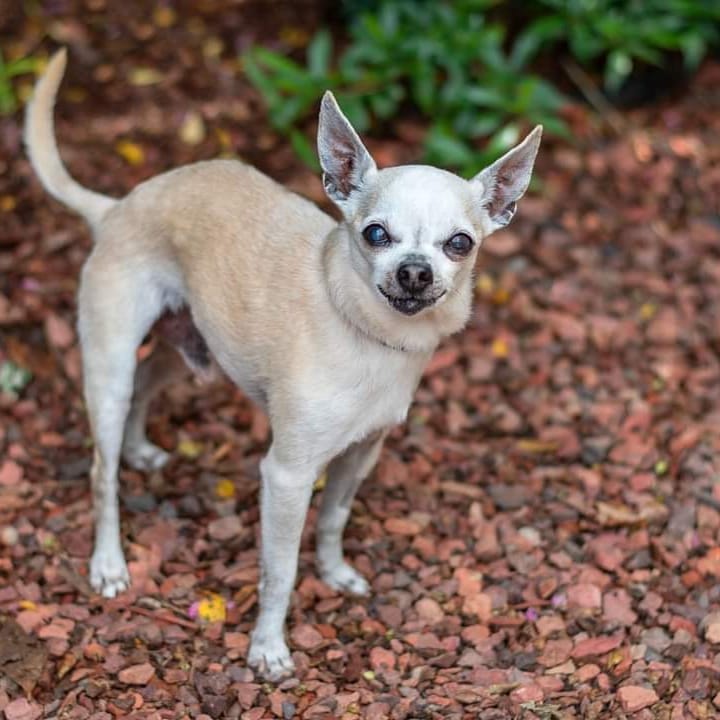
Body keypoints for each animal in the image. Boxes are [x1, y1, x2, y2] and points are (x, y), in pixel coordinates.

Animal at [26, 47, 540, 676]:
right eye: (375, 234)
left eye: (459, 243)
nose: (415, 271)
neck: (367, 336)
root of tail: (118, 206)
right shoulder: (288, 476)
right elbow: (281, 570)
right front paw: (268, 647)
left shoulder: (361, 454)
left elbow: (334, 519)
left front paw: (335, 572)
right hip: (109, 365)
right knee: (103, 470)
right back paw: (108, 562)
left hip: (195, 346)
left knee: (149, 382)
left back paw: (139, 447)